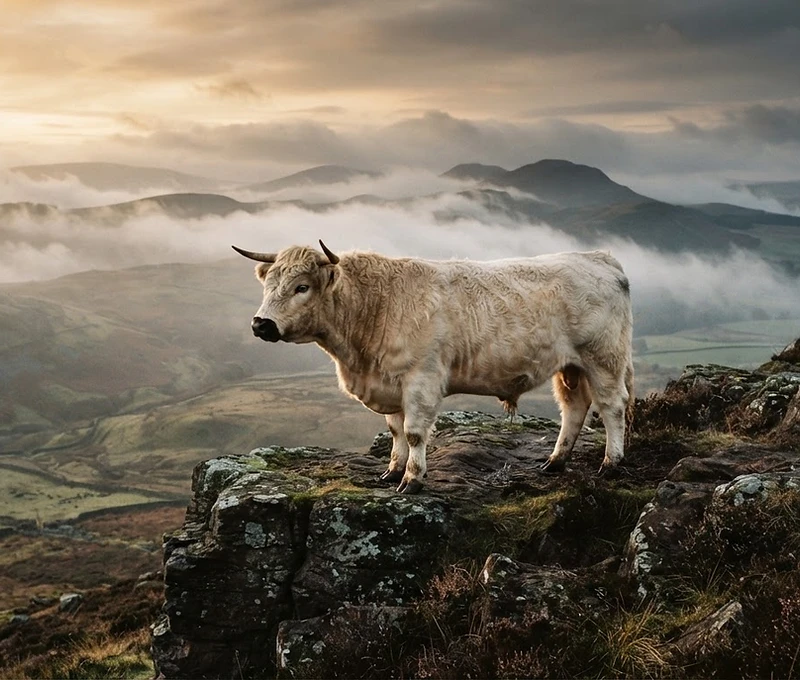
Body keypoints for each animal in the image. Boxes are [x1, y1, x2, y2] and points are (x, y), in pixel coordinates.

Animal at [233, 240, 634, 494]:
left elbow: (413, 433)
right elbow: (395, 431)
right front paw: (391, 470)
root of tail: (598, 257)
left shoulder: (420, 379)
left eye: (301, 287)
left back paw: (611, 462)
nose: (261, 324)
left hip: (603, 358)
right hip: (570, 367)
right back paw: (555, 461)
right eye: (269, 284)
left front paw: (412, 479)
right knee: (574, 409)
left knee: (612, 407)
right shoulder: (391, 383)